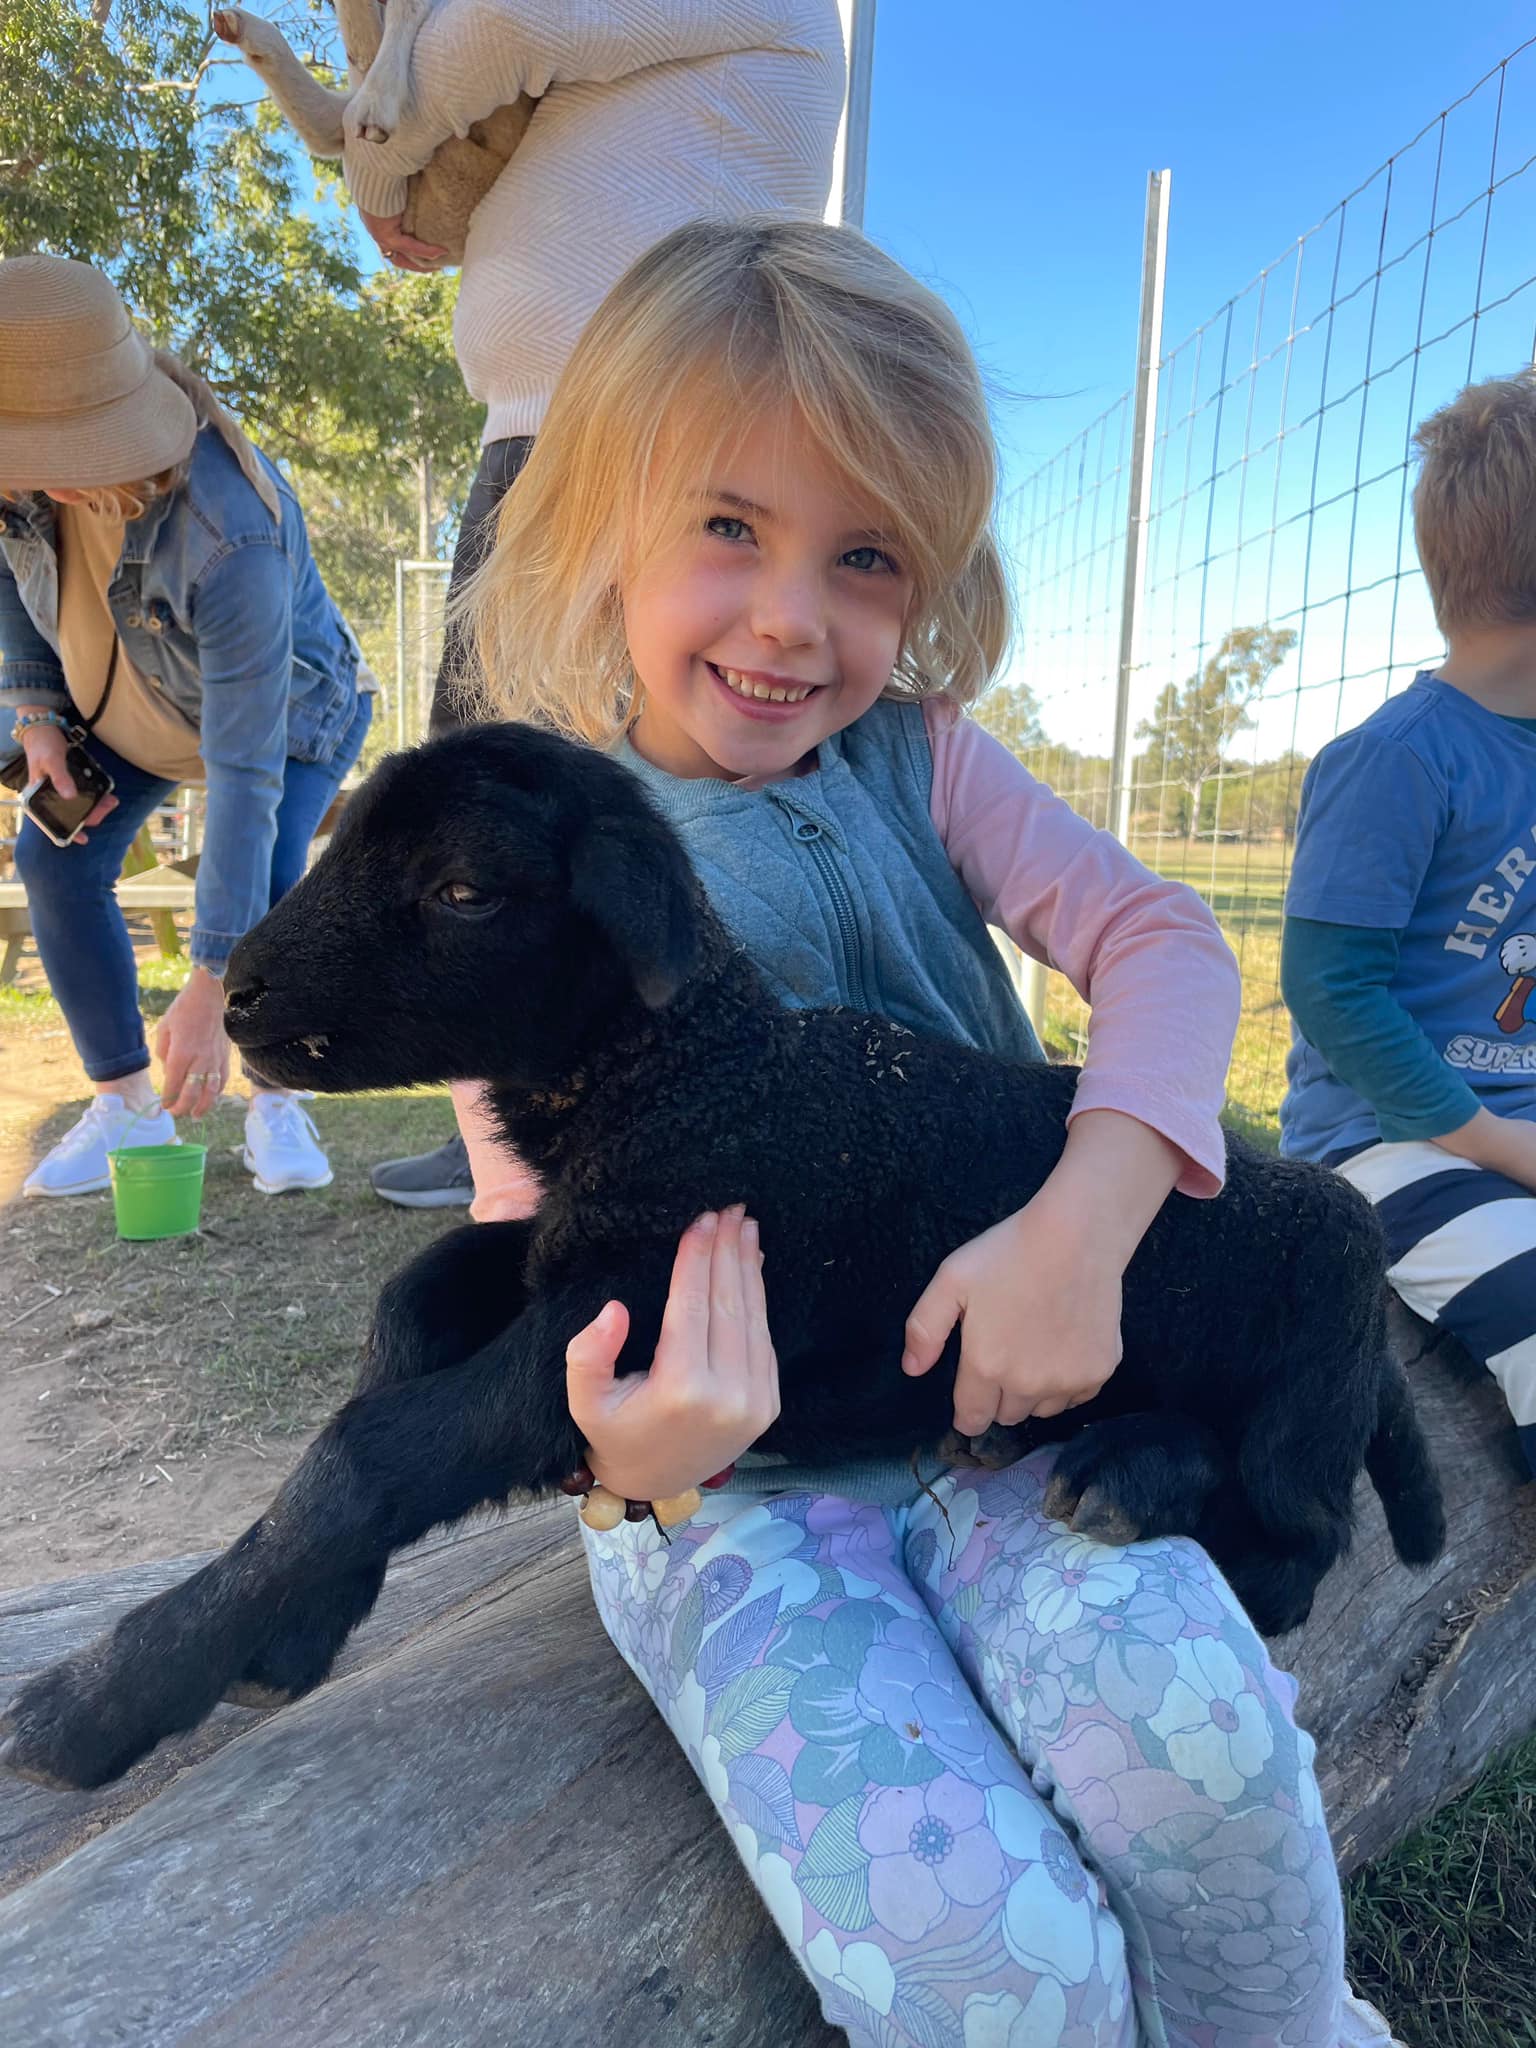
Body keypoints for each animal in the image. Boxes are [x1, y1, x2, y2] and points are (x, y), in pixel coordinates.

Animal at [0, 724, 1449, 1794]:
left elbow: (367, 1453)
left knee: (1302, 1541)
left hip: (1303, 1360)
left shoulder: (621, 1309)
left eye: (462, 890)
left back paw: (1153, 1490)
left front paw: (95, 1699)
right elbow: (407, 1305)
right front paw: (292, 1625)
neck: (683, 1070)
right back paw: (1115, 1458)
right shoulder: (573, 1256)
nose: (236, 995)